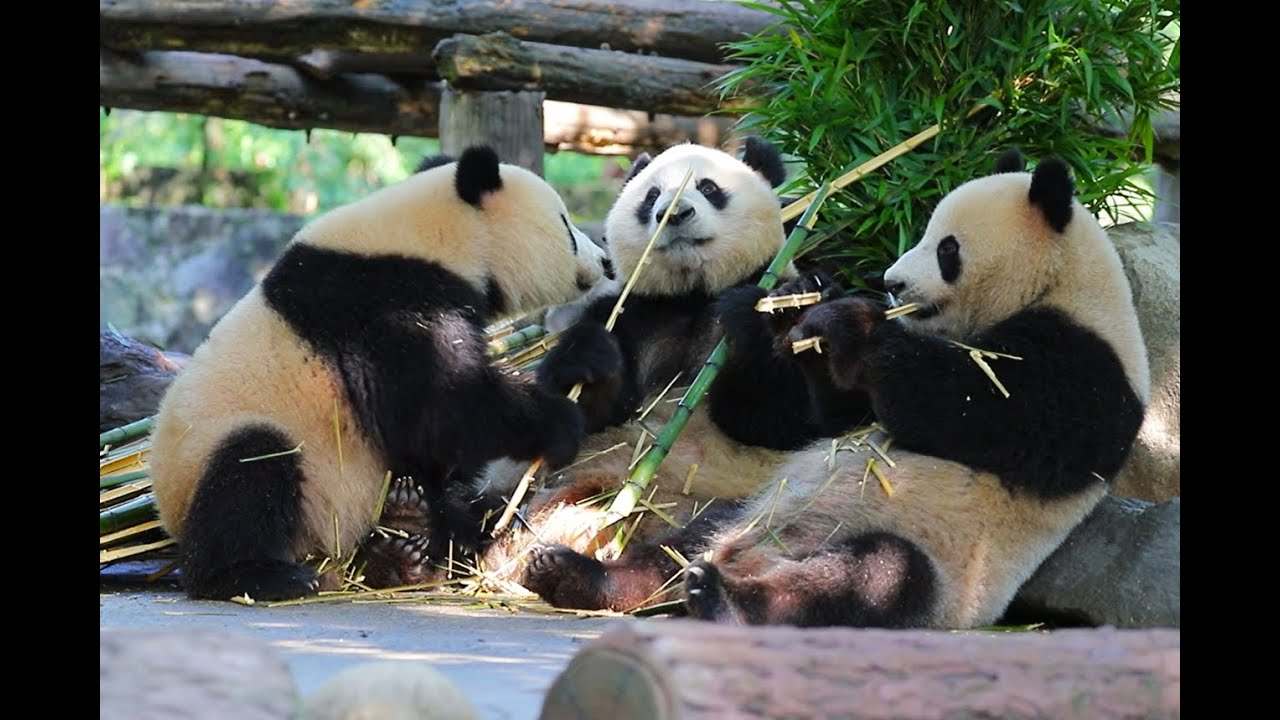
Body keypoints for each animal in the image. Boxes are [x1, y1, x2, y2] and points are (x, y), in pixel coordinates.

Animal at [146, 145, 611, 601]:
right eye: (567, 227)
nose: (606, 260)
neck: (433, 235)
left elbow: (432, 438)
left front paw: (586, 360)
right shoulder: (386, 305)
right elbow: (441, 408)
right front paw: (560, 423)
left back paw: (410, 541)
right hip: (228, 459)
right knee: (250, 471)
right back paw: (260, 577)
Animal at [520, 148, 1151, 628]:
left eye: (946, 248)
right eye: (652, 195)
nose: (892, 283)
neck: (1066, 285)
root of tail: (755, 557)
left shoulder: (1086, 370)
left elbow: (976, 410)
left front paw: (848, 325)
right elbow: (840, 417)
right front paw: (810, 325)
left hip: (935, 568)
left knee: (867, 579)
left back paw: (725, 600)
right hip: (747, 510)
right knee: (678, 548)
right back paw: (584, 576)